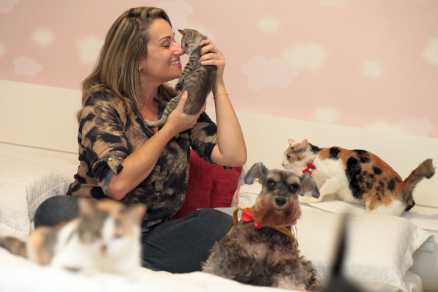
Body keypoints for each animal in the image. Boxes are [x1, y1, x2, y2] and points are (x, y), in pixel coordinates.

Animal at [204, 162, 320, 290]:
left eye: (294, 187)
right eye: (271, 182)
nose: (280, 200)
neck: (271, 226)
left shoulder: (288, 264)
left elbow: (291, 283)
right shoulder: (231, 251)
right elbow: (217, 269)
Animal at [282, 138, 432, 216]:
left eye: (288, 156)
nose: (282, 163)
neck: (313, 160)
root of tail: (403, 186)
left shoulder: (336, 179)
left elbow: (322, 192)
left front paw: (309, 199)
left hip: (376, 208)